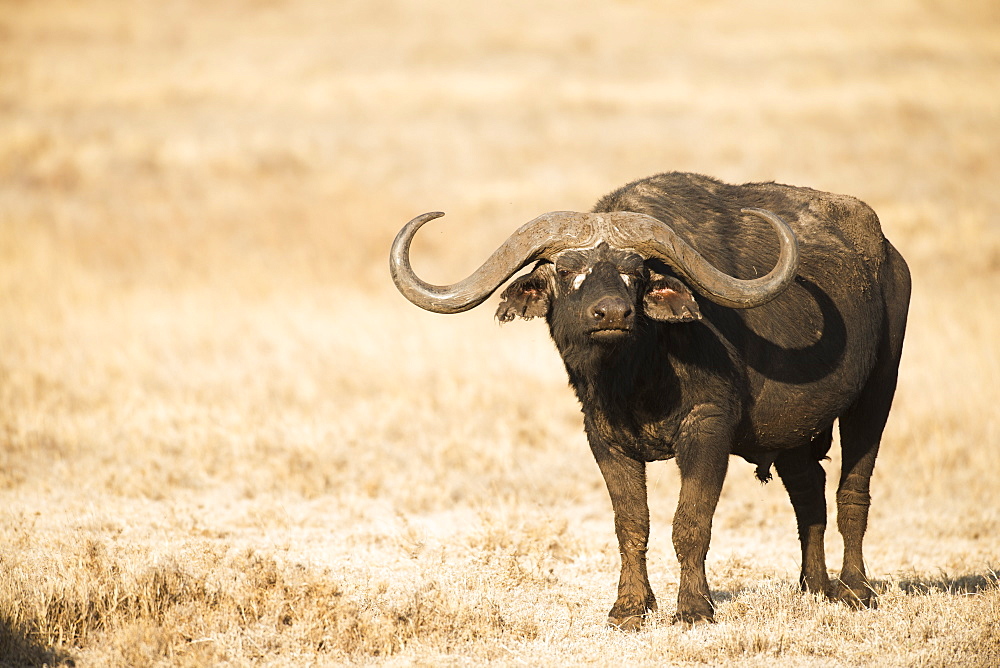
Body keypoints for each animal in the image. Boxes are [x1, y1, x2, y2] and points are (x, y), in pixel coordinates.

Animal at [390, 171, 916, 628]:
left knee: (853, 490)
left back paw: (854, 589)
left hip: (876, 395)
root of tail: (888, 257)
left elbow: (690, 522)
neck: (636, 377)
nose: (612, 313)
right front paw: (629, 608)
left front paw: (694, 608)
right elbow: (631, 524)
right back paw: (813, 584)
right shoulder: (603, 438)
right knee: (809, 492)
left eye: (635, 271)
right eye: (566, 269)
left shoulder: (707, 428)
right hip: (790, 433)